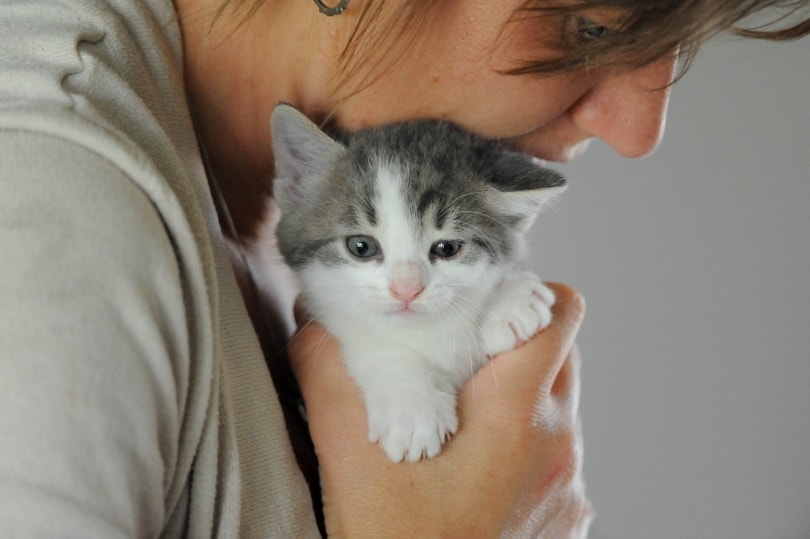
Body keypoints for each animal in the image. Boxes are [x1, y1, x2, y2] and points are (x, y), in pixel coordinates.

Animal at [264, 105, 560, 464]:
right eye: (361, 246)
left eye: (446, 248)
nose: (406, 289)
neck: (426, 334)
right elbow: (376, 345)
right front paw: (413, 408)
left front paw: (512, 302)